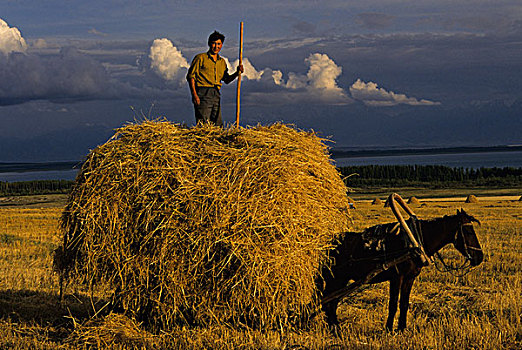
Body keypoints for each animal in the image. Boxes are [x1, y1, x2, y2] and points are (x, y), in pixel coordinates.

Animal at [316, 209, 484, 332]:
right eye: (469, 232)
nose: (480, 257)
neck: (414, 243)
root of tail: (326, 245)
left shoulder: (410, 278)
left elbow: (404, 303)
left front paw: (402, 328)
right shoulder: (397, 277)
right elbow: (393, 304)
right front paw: (389, 329)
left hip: (340, 280)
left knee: (331, 301)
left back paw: (334, 328)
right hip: (335, 279)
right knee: (328, 302)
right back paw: (335, 329)